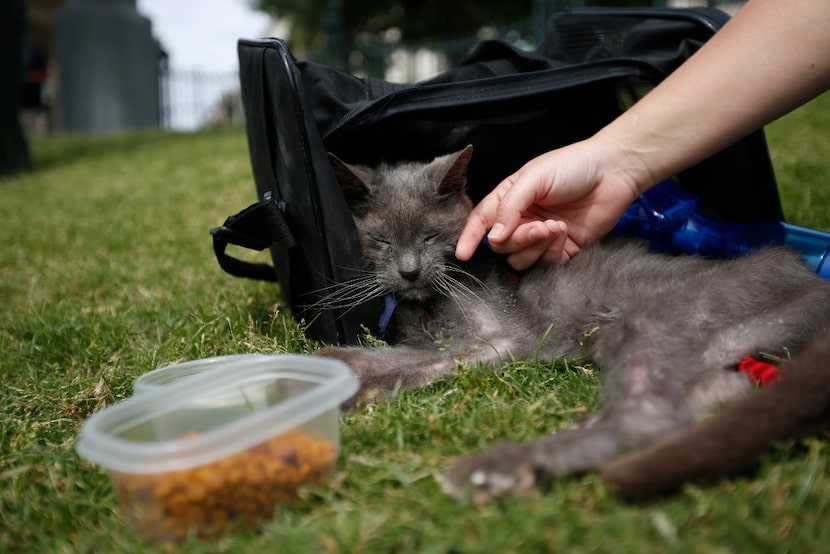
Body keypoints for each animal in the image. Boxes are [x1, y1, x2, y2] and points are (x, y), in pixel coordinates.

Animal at [316, 147, 830, 500]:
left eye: (430, 235)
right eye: (382, 241)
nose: (408, 271)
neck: (426, 304)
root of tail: (806, 277)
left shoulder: (502, 339)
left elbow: (425, 362)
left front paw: (359, 389)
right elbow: (404, 354)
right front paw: (336, 368)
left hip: (654, 318)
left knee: (646, 418)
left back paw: (499, 468)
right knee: (708, 398)